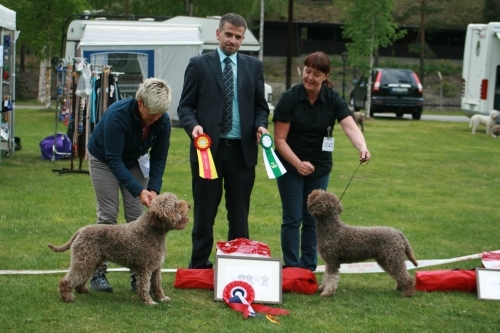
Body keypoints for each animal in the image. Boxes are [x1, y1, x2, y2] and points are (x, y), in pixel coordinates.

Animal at [48, 192, 189, 304]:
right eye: (175, 205)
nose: (189, 206)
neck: (150, 231)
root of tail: (80, 231)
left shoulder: (156, 268)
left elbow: (157, 284)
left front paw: (161, 298)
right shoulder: (145, 268)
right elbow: (144, 286)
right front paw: (148, 301)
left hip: (92, 260)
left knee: (83, 276)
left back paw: (82, 290)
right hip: (84, 259)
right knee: (68, 279)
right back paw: (67, 297)